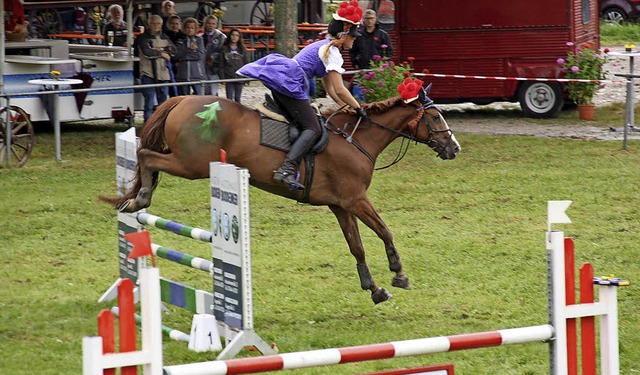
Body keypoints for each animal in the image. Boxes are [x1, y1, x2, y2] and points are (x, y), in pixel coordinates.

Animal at [101, 91, 460, 306]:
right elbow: (385, 230)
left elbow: (356, 246)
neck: (356, 140)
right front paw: (398, 273)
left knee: (146, 157)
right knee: (146, 155)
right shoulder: (357, 200)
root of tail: (181, 99)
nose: (454, 148)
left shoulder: (341, 205)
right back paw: (141, 196)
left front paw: (374, 288)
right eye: (436, 117)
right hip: (191, 165)